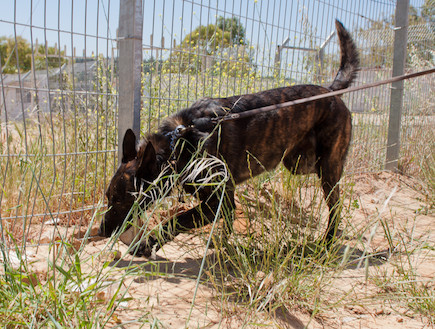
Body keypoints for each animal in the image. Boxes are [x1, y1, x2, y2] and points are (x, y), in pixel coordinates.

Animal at [99, 19, 362, 256]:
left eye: (120, 200)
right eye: (108, 197)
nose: (101, 230)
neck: (178, 143)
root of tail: (331, 91)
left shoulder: (216, 202)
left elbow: (175, 220)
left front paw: (146, 245)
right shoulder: (223, 201)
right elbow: (224, 224)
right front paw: (224, 246)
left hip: (327, 167)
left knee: (336, 205)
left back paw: (327, 242)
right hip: (299, 164)